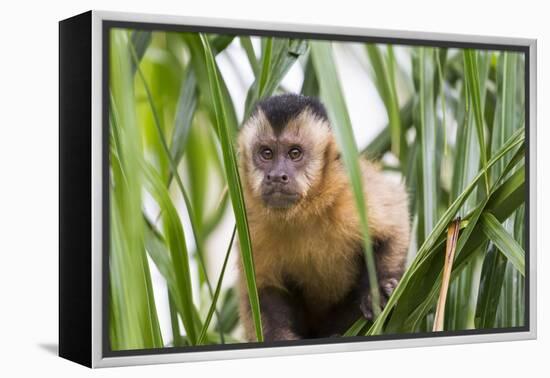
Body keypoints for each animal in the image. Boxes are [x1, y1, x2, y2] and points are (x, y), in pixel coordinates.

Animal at [236, 93, 410, 342]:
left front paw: (377, 291)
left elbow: (394, 224)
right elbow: (262, 288)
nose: (276, 176)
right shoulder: (251, 223)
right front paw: (279, 338)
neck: (304, 211)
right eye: (266, 153)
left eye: (295, 153)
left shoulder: (350, 192)